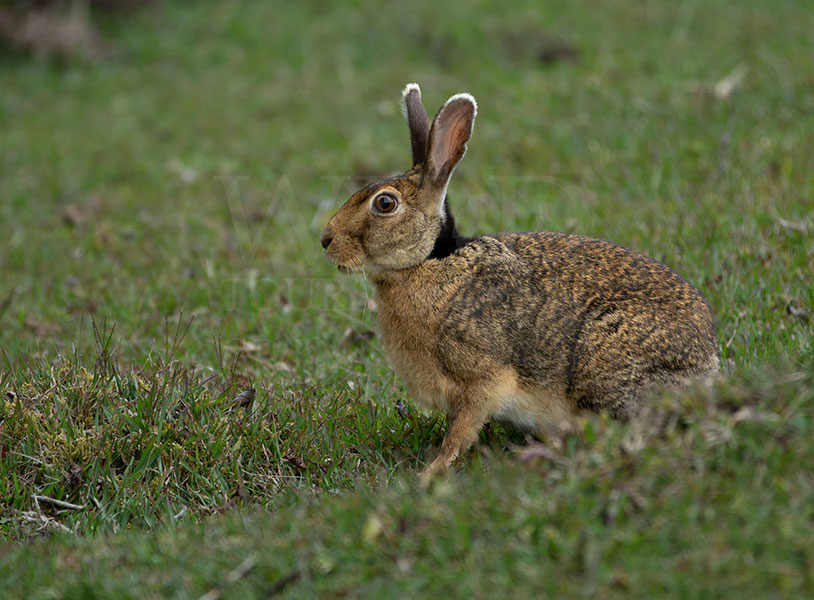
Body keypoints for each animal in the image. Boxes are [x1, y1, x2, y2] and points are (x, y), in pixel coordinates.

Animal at [321, 83, 720, 480]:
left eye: (384, 204)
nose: (326, 240)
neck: (428, 262)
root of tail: (706, 369)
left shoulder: (484, 379)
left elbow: (462, 430)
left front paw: (432, 472)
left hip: (603, 362)